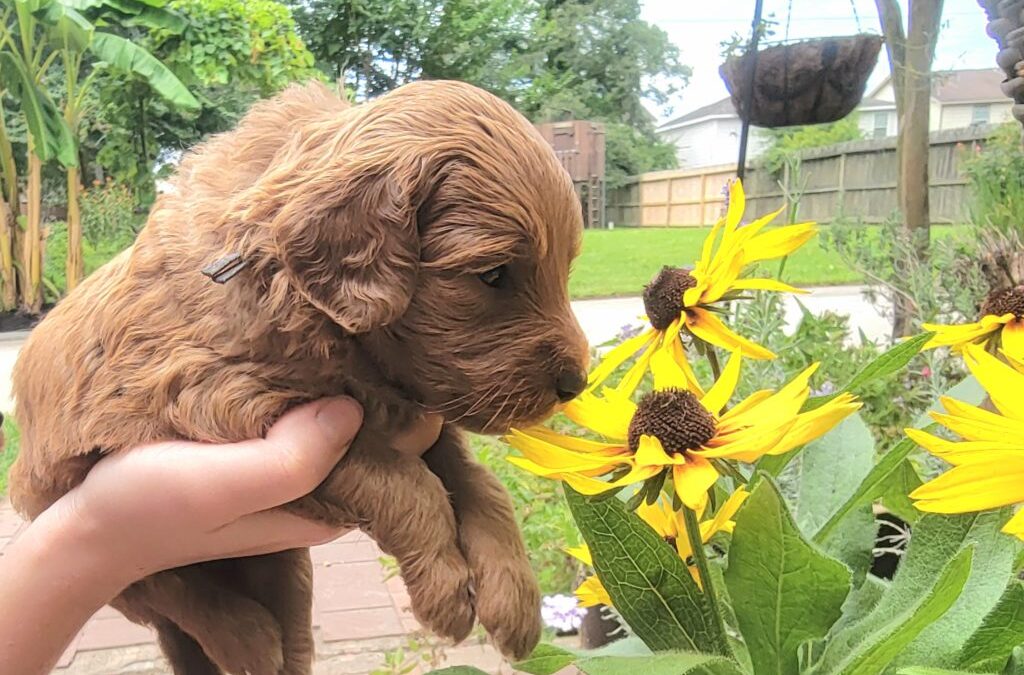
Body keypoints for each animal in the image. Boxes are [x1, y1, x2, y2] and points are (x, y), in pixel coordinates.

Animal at [8, 80, 589, 675]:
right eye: (492, 275)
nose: (576, 383)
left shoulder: (428, 421)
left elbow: (480, 483)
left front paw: (513, 597)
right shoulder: (221, 400)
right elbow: (405, 480)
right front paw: (446, 591)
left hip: (284, 572)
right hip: (78, 514)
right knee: (169, 589)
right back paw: (245, 636)